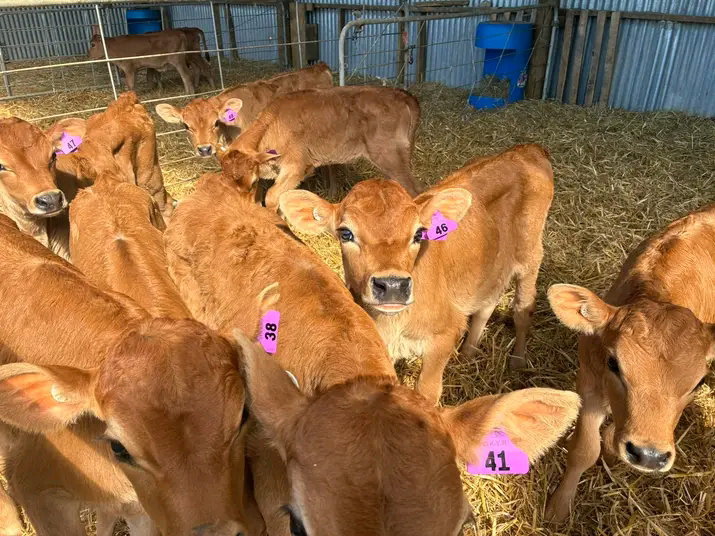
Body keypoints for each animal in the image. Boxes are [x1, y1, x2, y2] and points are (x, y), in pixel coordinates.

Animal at [219, 85, 424, 208]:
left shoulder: (296, 166)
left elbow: (271, 196)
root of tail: (404, 95)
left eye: (253, 182)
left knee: (415, 191)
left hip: (389, 156)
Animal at [279, 144, 554, 404]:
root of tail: (527, 149)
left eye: (419, 234)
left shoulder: (444, 336)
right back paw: (468, 353)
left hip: (530, 256)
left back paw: (518, 362)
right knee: (487, 304)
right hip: (492, 266)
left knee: (523, 308)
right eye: (346, 233)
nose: (392, 286)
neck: (393, 324)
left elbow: (426, 393)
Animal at [544, 204, 715, 522]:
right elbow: (584, 449)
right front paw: (558, 509)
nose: (649, 456)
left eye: (698, 382)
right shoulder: (589, 380)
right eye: (613, 363)